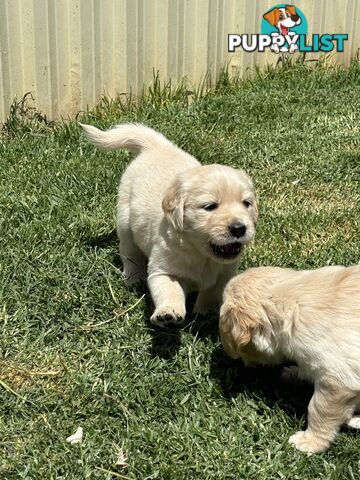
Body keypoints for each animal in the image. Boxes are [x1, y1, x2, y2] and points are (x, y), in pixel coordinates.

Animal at [80, 124, 258, 326]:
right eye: (210, 206)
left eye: (246, 203)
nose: (239, 228)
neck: (200, 254)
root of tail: (157, 145)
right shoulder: (164, 269)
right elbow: (170, 290)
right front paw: (167, 312)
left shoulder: (224, 274)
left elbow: (212, 292)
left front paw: (206, 312)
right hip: (125, 221)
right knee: (129, 253)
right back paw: (133, 277)